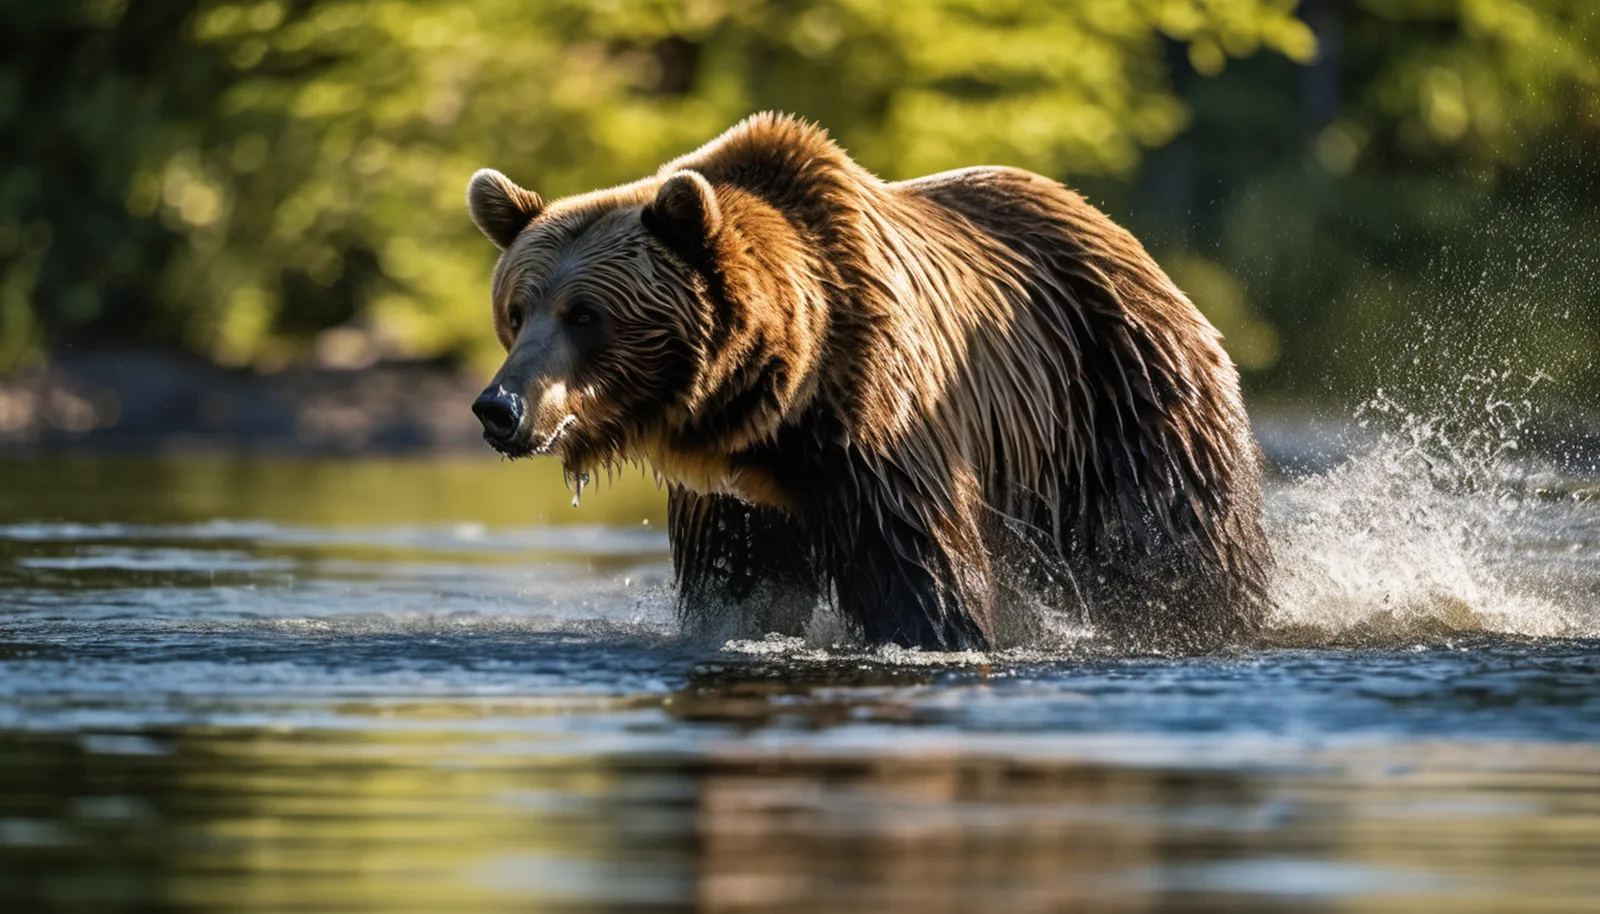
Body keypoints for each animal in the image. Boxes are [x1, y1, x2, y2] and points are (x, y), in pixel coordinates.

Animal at [466, 112, 1271, 652]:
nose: (498, 407)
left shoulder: (883, 429)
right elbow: (736, 592)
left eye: (586, 313)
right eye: (518, 308)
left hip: (1122, 397)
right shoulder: (734, 501)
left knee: (1183, 545)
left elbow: (918, 573)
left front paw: (944, 629)